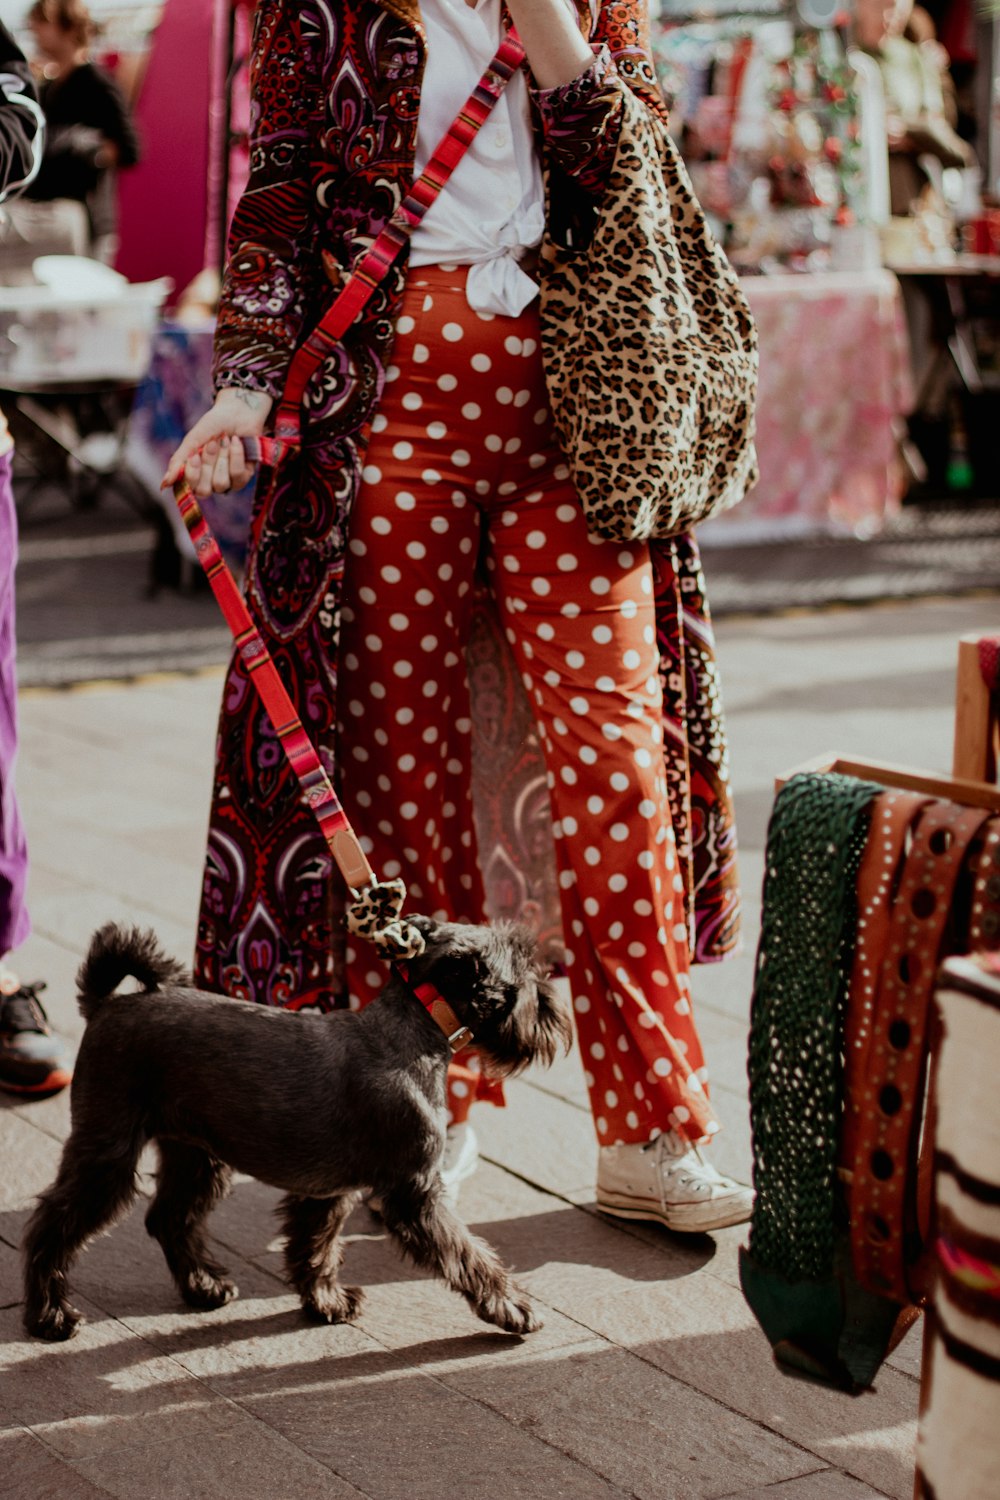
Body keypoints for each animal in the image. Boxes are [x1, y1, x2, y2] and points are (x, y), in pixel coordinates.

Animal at [23, 912, 569, 1350]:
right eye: (525, 968)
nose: (552, 1008)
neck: (416, 1030)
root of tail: (106, 1005)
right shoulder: (415, 1197)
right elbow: (470, 1255)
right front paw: (514, 1310)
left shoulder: (328, 1193)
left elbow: (316, 1249)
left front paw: (326, 1303)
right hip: (109, 1153)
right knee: (53, 1225)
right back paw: (50, 1317)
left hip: (196, 1154)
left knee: (169, 1218)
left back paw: (204, 1288)